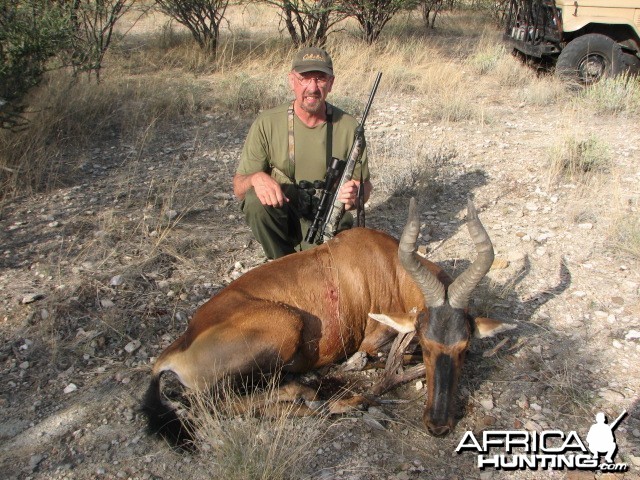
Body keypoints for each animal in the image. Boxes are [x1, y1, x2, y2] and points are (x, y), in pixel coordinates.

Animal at [142, 198, 512, 446]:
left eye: (464, 346)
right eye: (426, 343)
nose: (438, 426)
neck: (388, 265)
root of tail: (179, 345)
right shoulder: (373, 339)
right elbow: (378, 355)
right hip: (283, 328)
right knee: (213, 405)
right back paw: (323, 398)